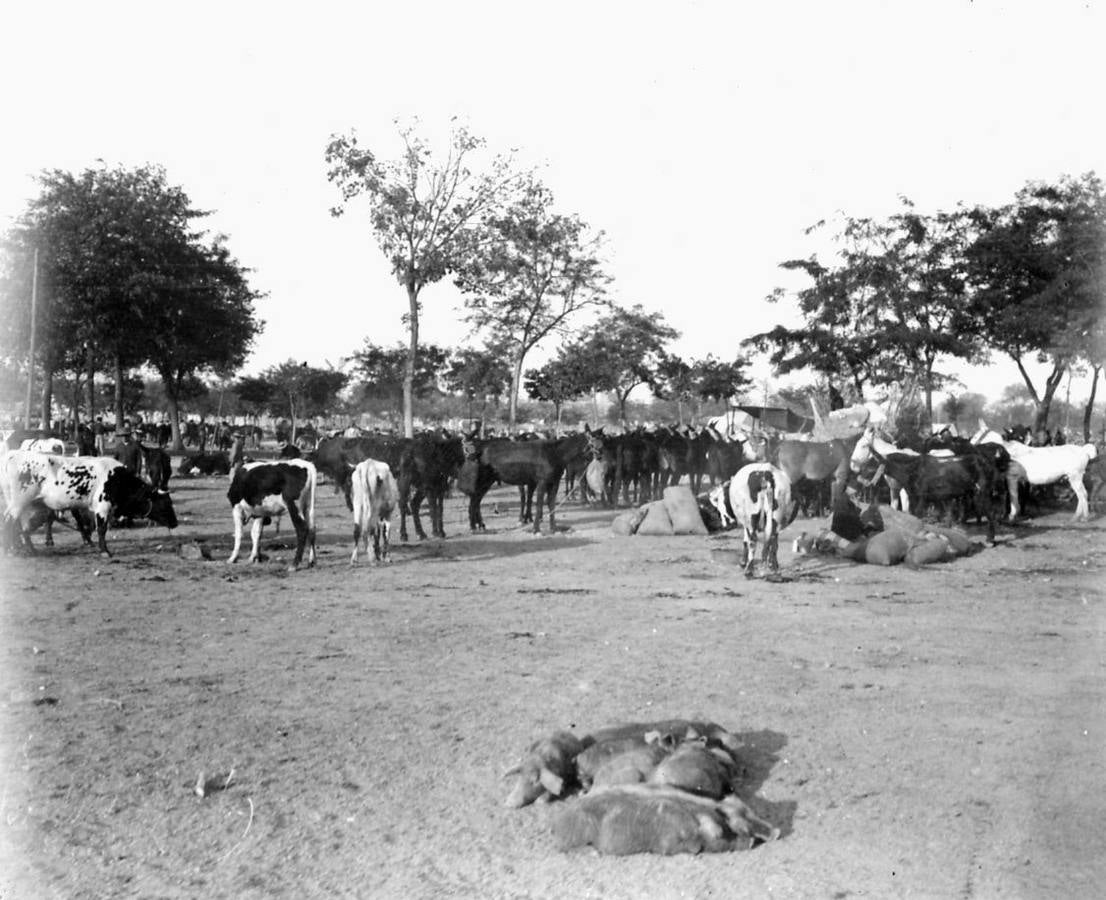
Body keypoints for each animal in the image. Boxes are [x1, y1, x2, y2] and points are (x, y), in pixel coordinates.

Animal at [0, 451, 176, 557]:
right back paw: (11, 550)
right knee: (9, 521)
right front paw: (105, 551)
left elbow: (87, 526)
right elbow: (101, 529)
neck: (118, 480)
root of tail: (13, 455)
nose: (175, 523)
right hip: (19, 502)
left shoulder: (89, 508)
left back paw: (28, 549)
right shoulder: (103, 507)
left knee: (20, 526)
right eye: (165, 503)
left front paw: (91, 543)